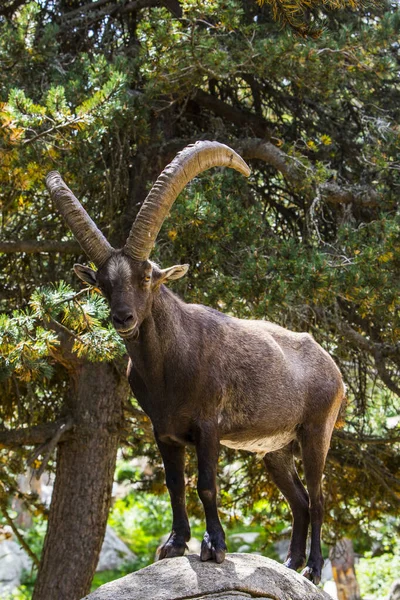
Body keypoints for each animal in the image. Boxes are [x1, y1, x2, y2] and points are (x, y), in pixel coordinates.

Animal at [47, 139, 346, 580]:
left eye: (148, 276)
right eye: (102, 284)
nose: (123, 318)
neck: (168, 367)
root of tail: (332, 366)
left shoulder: (208, 427)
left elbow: (206, 484)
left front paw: (214, 547)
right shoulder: (165, 432)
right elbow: (175, 484)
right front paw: (173, 544)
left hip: (315, 432)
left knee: (320, 497)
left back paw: (312, 568)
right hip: (274, 450)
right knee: (300, 500)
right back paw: (290, 563)